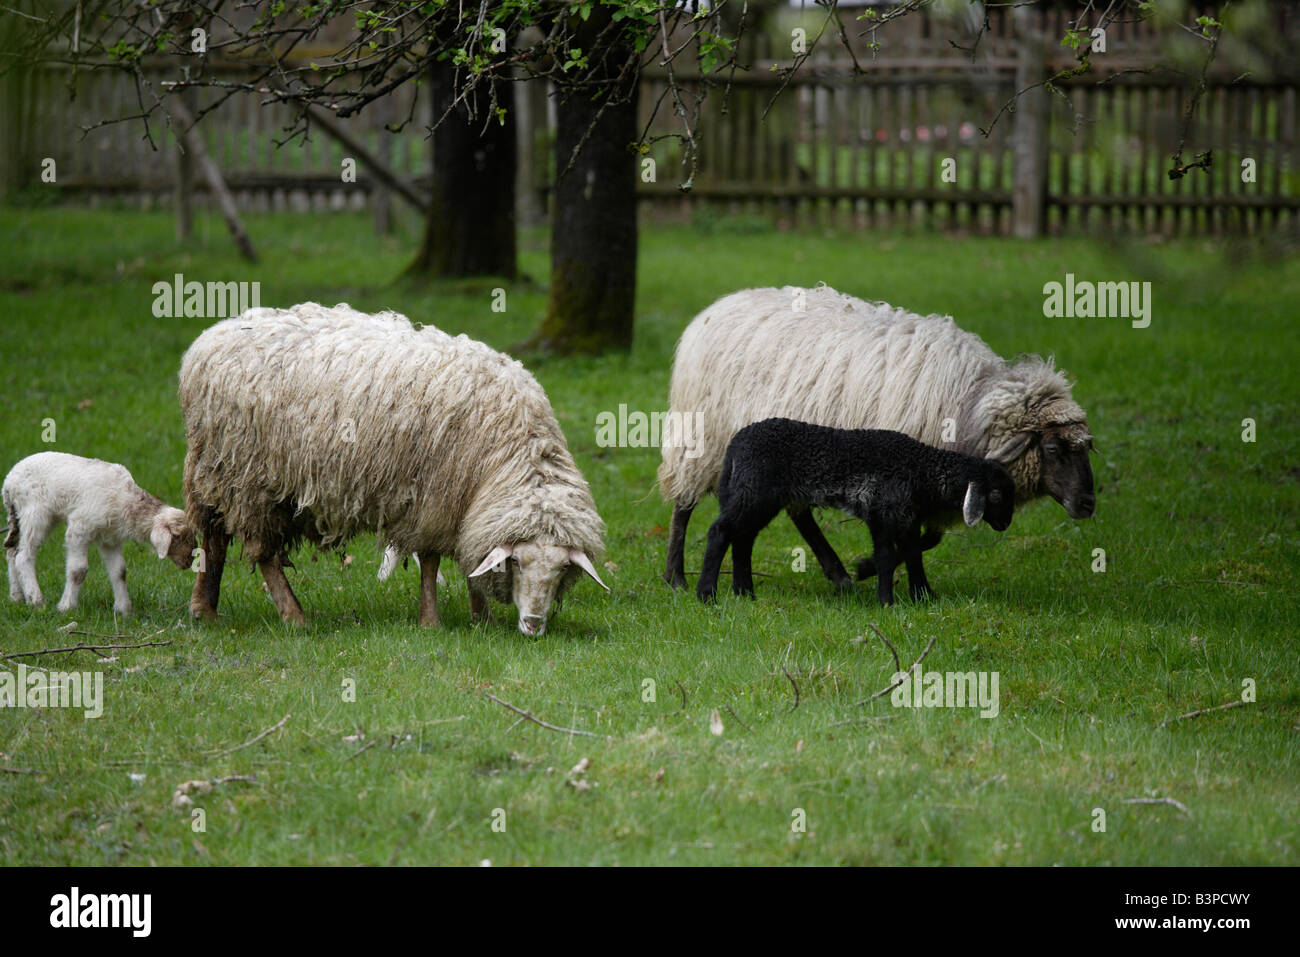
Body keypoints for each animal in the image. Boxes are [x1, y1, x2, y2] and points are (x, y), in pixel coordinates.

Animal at [1, 452, 195, 616]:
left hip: (17, 516)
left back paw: (17, 596)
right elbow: (78, 570)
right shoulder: (79, 528)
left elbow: (120, 572)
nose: (189, 561)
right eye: (177, 536)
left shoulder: (110, 539)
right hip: (35, 513)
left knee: (11, 552)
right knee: (23, 556)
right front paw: (66, 607)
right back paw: (36, 601)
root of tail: (9, 482)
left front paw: (124, 609)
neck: (125, 500)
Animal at [178, 304, 608, 634]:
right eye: (517, 562)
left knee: (213, 538)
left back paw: (204, 609)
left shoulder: (466, 506)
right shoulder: (435, 500)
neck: (509, 451)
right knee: (263, 552)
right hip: (250, 479)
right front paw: (431, 622)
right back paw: (294, 616)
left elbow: (470, 559)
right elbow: (431, 562)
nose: (533, 624)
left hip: (216, 470)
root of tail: (208, 340)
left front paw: (480, 618)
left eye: (561, 570)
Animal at [696, 418, 1019, 605]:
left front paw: (923, 597)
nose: (1005, 523)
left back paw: (745, 594)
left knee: (743, 539)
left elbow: (914, 554)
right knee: (720, 531)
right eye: (995, 494)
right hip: (754, 491)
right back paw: (706, 594)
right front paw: (886, 601)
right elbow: (887, 556)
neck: (921, 469)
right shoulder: (880, 512)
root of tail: (736, 444)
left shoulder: (907, 519)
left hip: (758, 497)